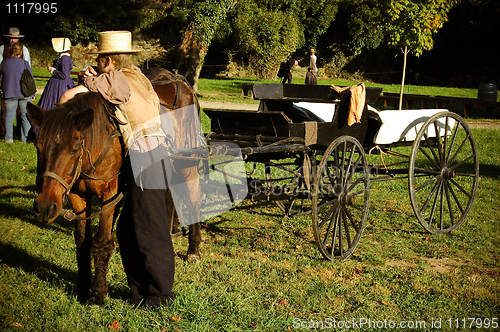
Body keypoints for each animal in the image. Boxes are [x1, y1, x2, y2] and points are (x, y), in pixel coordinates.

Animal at [26, 68, 202, 306]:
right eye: (38, 146)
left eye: (74, 148)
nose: (44, 206)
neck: (99, 140)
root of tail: (180, 80)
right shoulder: (77, 195)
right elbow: (82, 240)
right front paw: (83, 287)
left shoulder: (110, 194)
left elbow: (102, 241)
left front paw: (98, 293)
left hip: (188, 163)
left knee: (193, 200)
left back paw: (193, 249)